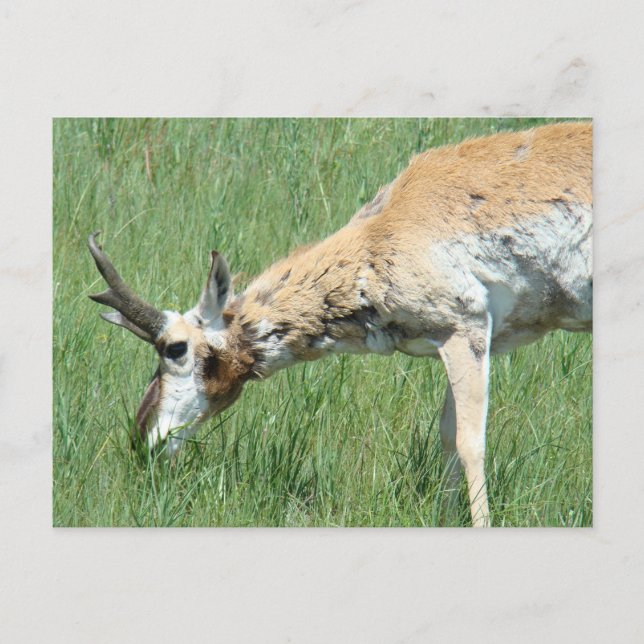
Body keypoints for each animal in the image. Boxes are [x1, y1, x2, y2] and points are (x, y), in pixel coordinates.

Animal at [88, 122, 592, 527]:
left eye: (174, 348)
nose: (140, 441)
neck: (383, 233)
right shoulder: (455, 340)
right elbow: (448, 438)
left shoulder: (464, 331)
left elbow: (470, 442)